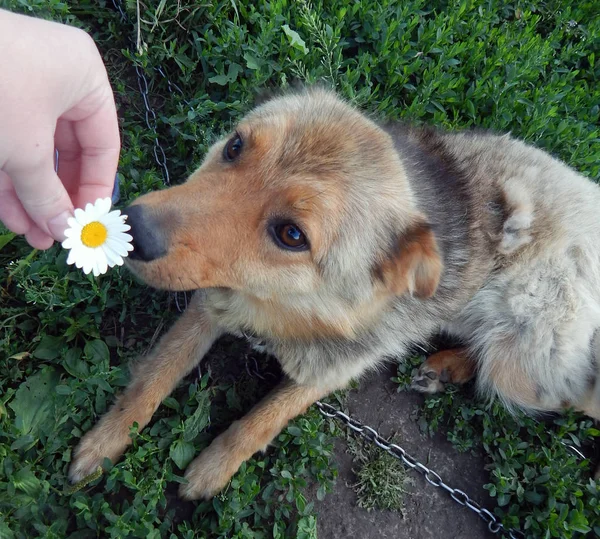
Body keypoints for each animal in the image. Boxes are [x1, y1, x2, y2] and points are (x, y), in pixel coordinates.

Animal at [68, 87, 600, 498]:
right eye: (235, 146)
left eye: (292, 235)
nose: (133, 229)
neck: (284, 311)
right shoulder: (210, 302)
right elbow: (153, 378)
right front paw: (105, 442)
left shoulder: (332, 369)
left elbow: (261, 422)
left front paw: (212, 469)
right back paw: (446, 368)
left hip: (521, 356)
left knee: (568, 390)